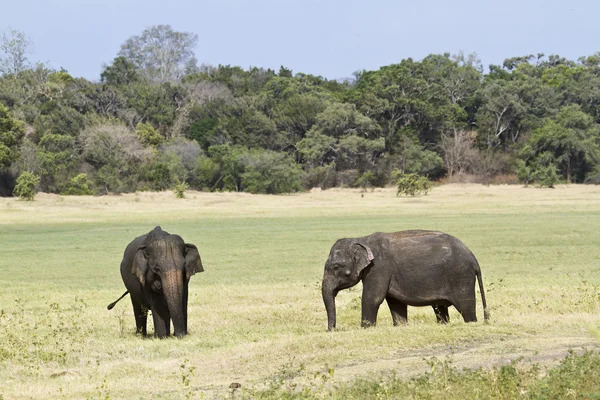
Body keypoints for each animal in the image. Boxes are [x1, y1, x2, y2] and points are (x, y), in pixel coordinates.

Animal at [324, 230, 488, 330]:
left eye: (336, 267)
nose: (332, 330)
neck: (362, 239)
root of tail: (473, 258)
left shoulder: (379, 268)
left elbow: (372, 298)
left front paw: (366, 329)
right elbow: (395, 302)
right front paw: (401, 326)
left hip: (460, 275)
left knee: (466, 308)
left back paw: (471, 323)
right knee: (439, 308)